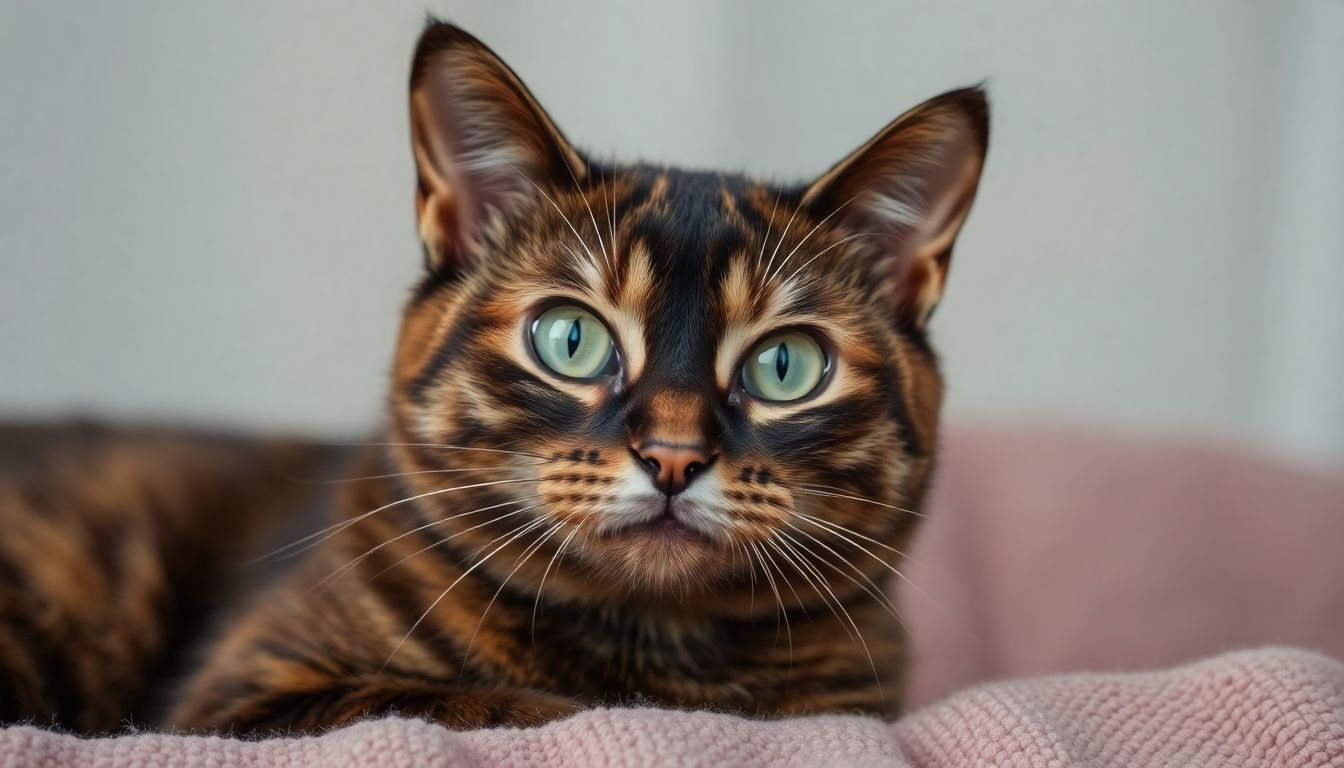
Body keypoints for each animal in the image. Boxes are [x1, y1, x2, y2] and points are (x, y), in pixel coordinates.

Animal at [0, 19, 989, 731]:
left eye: (787, 365)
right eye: (570, 339)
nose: (673, 455)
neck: (647, 653)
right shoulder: (246, 695)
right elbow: (487, 703)